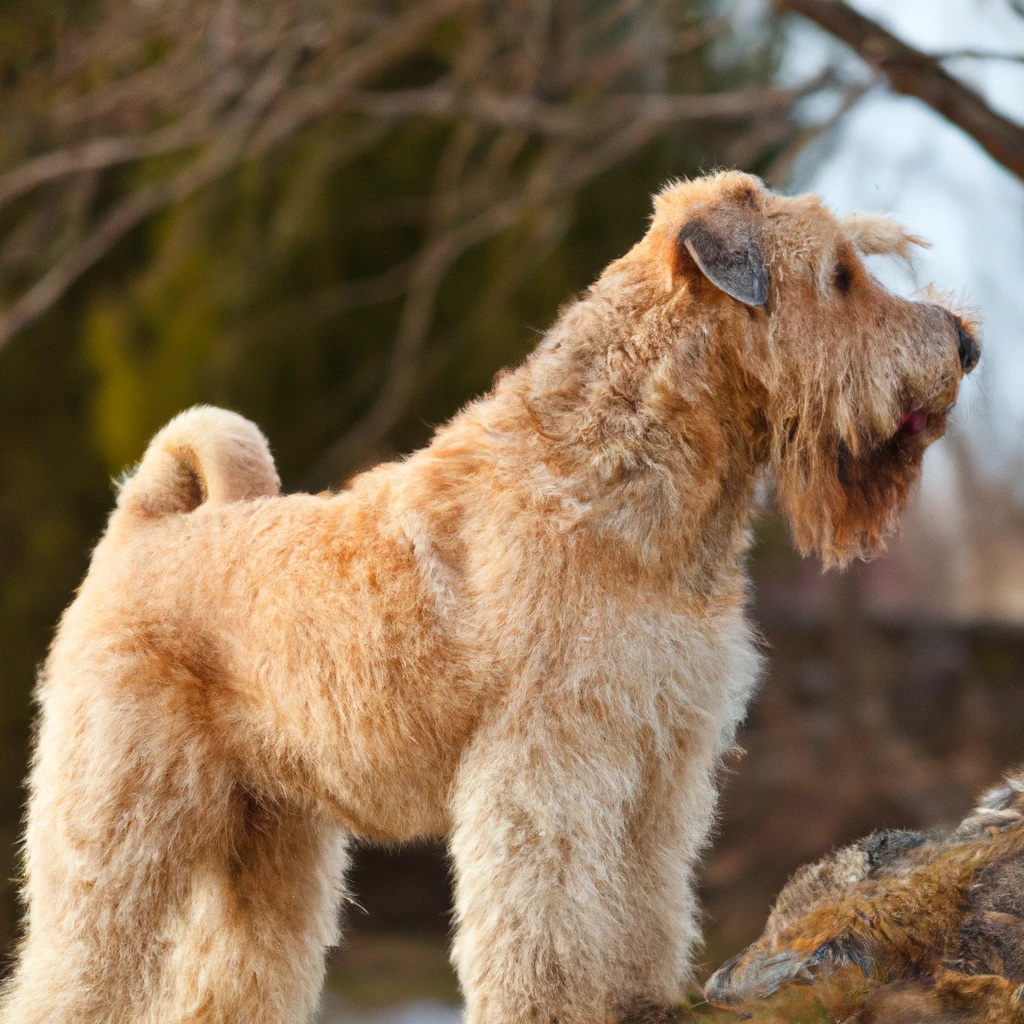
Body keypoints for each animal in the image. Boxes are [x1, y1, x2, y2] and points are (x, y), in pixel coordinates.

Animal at [4, 172, 978, 1019]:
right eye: (840, 275)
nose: (967, 343)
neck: (611, 478)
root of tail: (140, 527)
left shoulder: (658, 766)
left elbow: (642, 902)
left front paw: (637, 999)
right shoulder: (552, 766)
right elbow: (545, 922)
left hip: (267, 846)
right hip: (117, 832)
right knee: (68, 976)